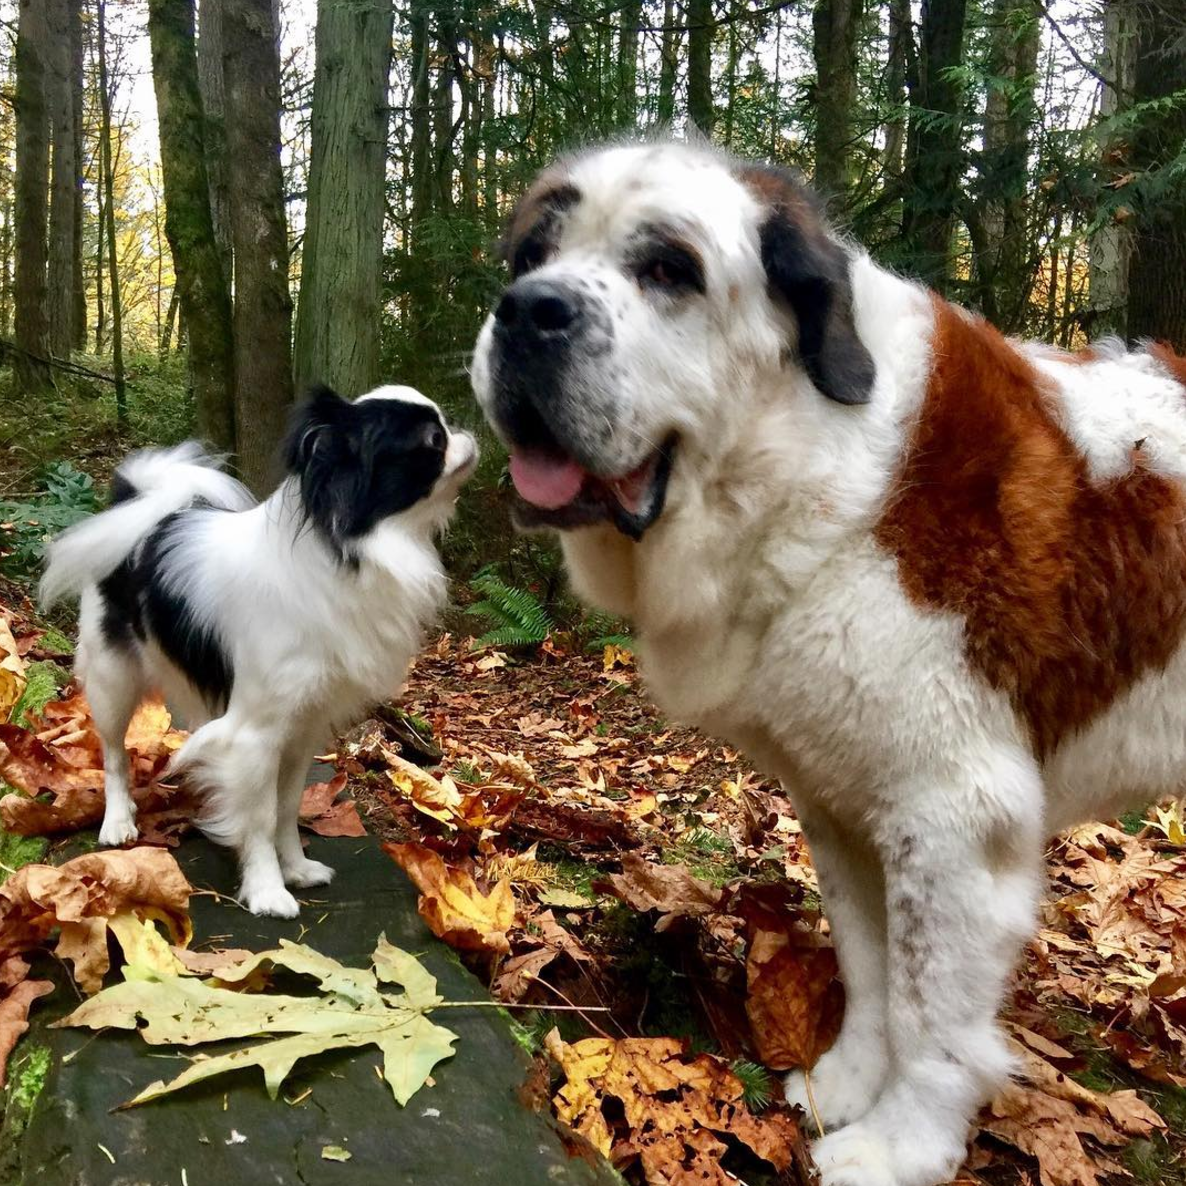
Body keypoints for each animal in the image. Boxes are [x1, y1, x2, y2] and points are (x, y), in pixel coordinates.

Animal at [41, 384, 476, 910]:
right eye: (433, 440)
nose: (468, 433)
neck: (351, 549)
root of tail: (144, 506)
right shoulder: (257, 733)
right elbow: (261, 815)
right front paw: (268, 889)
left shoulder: (302, 727)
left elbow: (285, 807)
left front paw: (296, 868)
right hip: (113, 678)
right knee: (113, 752)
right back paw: (118, 819)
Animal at [469, 141, 1186, 1186]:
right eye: (530, 257)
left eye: (669, 270)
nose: (528, 311)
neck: (810, 461)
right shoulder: (843, 798)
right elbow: (870, 961)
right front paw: (847, 1085)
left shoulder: (953, 813)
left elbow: (931, 1010)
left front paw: (900, 1147)